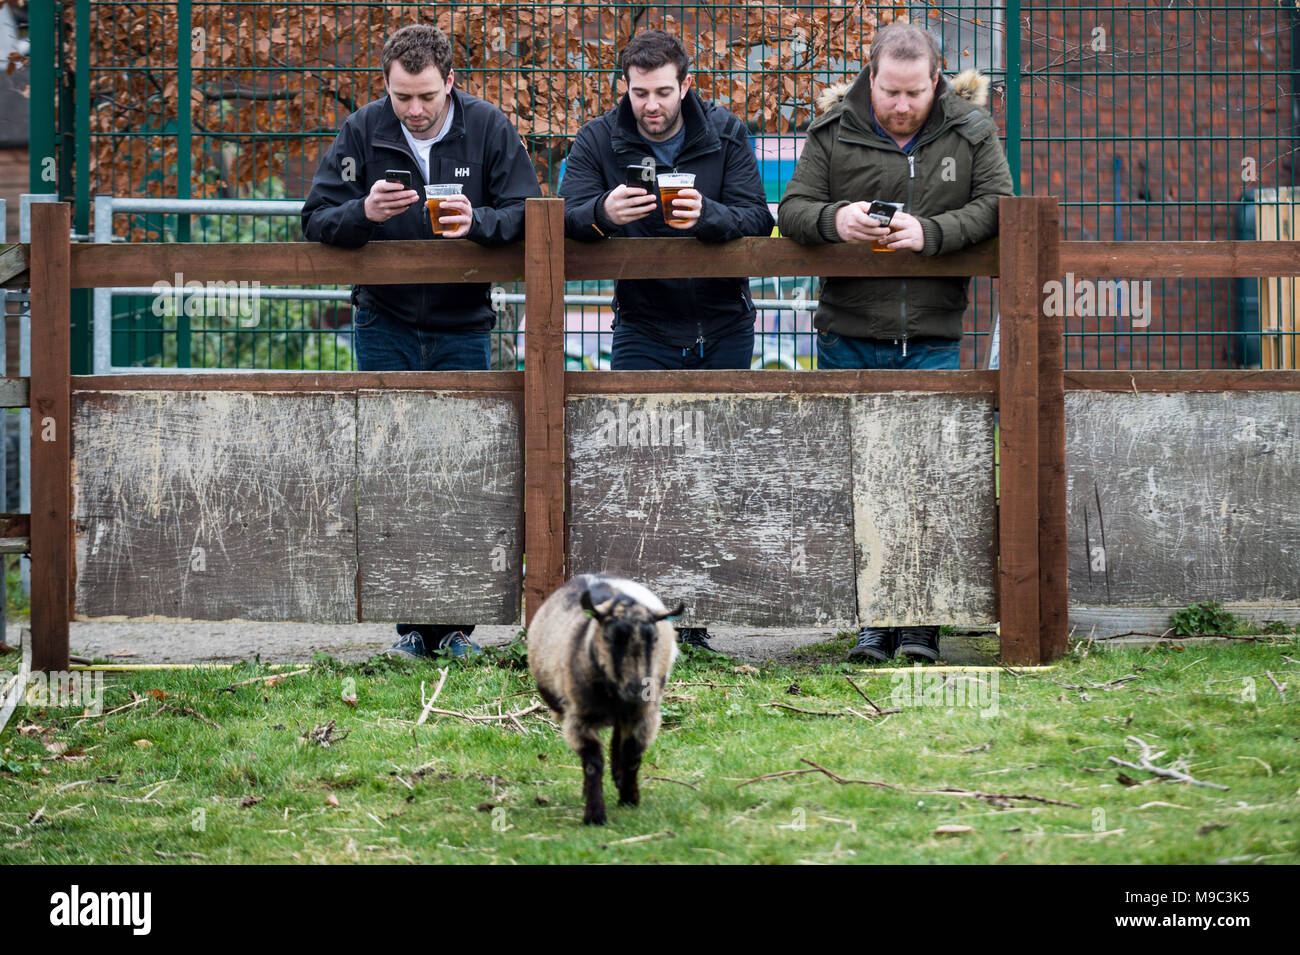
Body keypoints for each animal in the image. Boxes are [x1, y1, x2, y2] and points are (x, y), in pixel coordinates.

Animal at [530, 571, 691, 826]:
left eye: (654, 638)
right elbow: (593, 763)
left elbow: (632, 755)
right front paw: (595, 814)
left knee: (619, 738)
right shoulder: (579, 719)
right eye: (607, 636)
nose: (637, 689)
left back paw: (618, 776)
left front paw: (629, 798)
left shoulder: (644, 715)